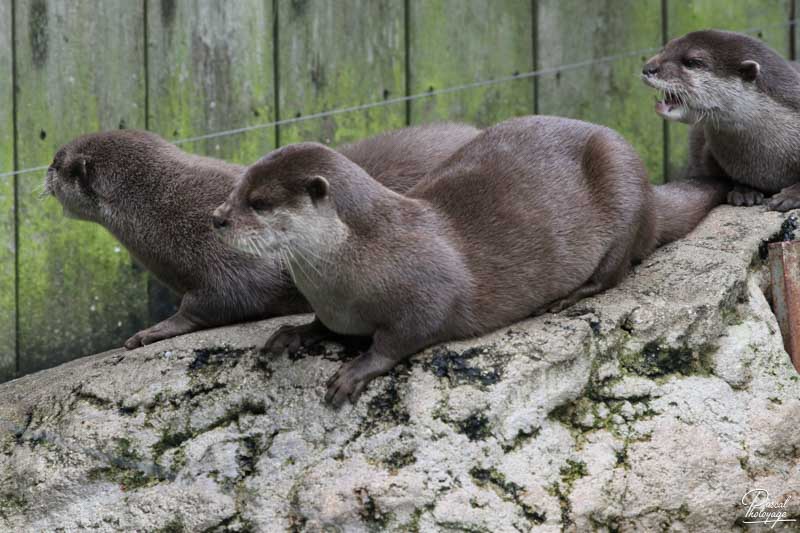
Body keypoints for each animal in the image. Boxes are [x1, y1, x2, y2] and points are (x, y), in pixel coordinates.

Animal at [48, 124, 482, 350]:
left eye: (58, 161)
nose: (45, 172)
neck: (160, 208)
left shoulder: (231, 257)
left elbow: (221, 300)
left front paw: (151, 331)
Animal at [214, 114, 732, 406]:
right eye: (236, 189)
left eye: (259, 203)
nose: (217, 218)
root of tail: (651, 192)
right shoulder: (333, 306)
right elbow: (323, 326)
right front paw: (294, 332)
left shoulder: (428, 291)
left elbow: (404, 334)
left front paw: (357, 370)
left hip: (623, 183)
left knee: (617, 266)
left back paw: (570, 296)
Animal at [640, 28, 800, 209]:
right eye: (666, 48)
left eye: (692, 62)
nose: (648, 68)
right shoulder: (708, 153)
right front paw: (744, 190)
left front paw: (791, 195)